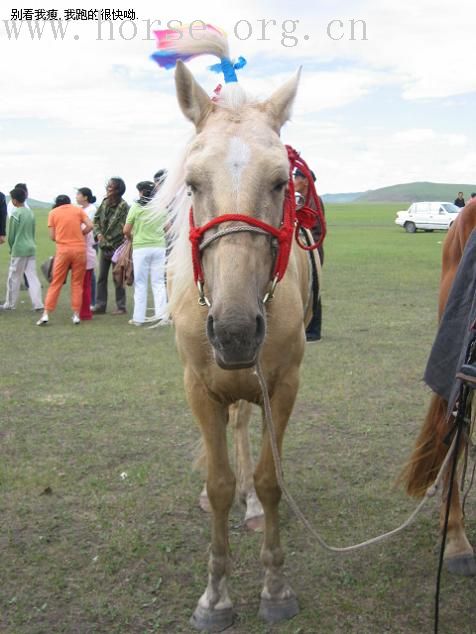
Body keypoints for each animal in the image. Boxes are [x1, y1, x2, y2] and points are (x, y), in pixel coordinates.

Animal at [155, 56, 320, 624]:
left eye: (279, 183)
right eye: (191, 182)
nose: (234, 331)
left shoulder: (284, 385)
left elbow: (270, 479)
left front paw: (275, 588)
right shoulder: (199, 389)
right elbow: (219, 482)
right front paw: (215, 596)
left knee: (245, 425)